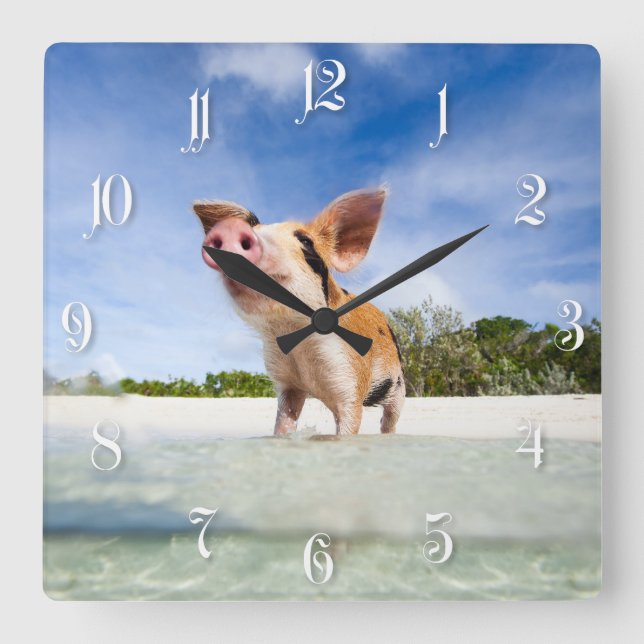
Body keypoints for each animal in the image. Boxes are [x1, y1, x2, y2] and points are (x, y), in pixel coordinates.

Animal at [193, 188, 405, 436]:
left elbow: (349, 423)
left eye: (305, 241)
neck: (299, 346)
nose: (230, 229)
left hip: (398, 385)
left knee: (389, 419)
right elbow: (284, 421)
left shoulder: (351, 378)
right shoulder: (288, 385)